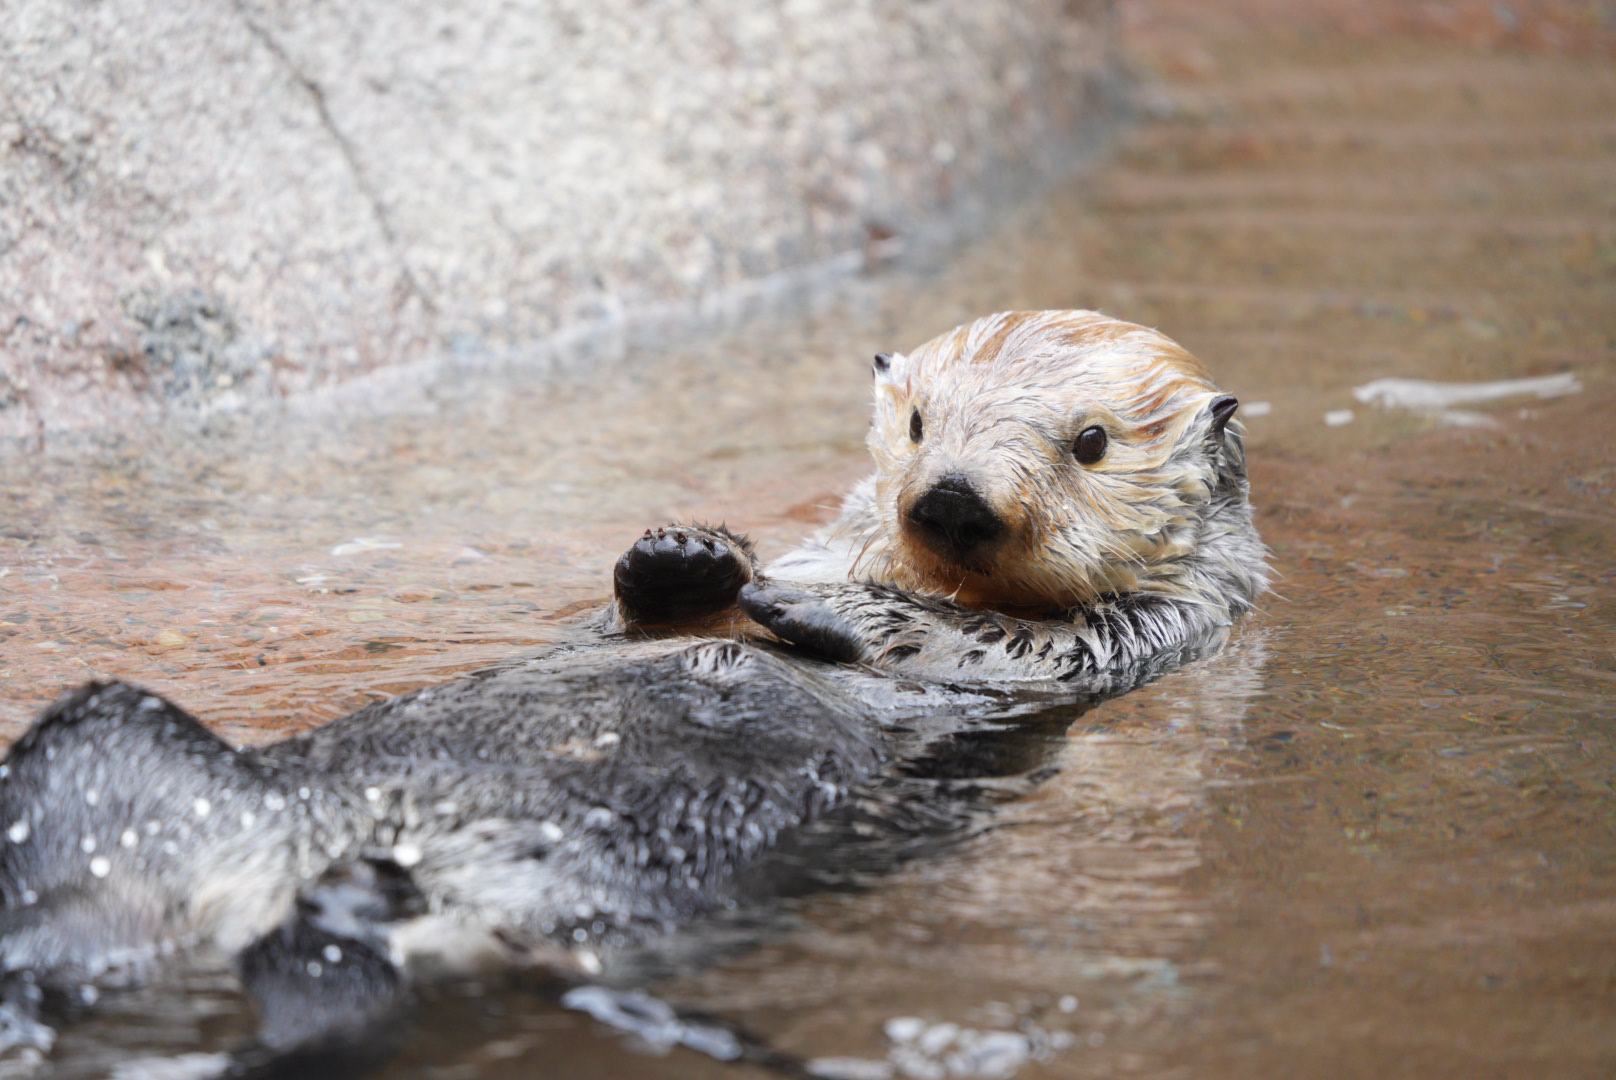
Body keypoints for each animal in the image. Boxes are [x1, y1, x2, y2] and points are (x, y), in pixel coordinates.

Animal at [0, 310, 1264, 1071]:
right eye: (916, 424)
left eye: (1089, 443)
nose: (948, 495)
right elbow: (625, 619)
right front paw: (685, 556)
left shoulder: (1147, 636)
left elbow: (999, 645)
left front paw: (816, 612)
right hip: (108, 745)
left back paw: (351, 912)